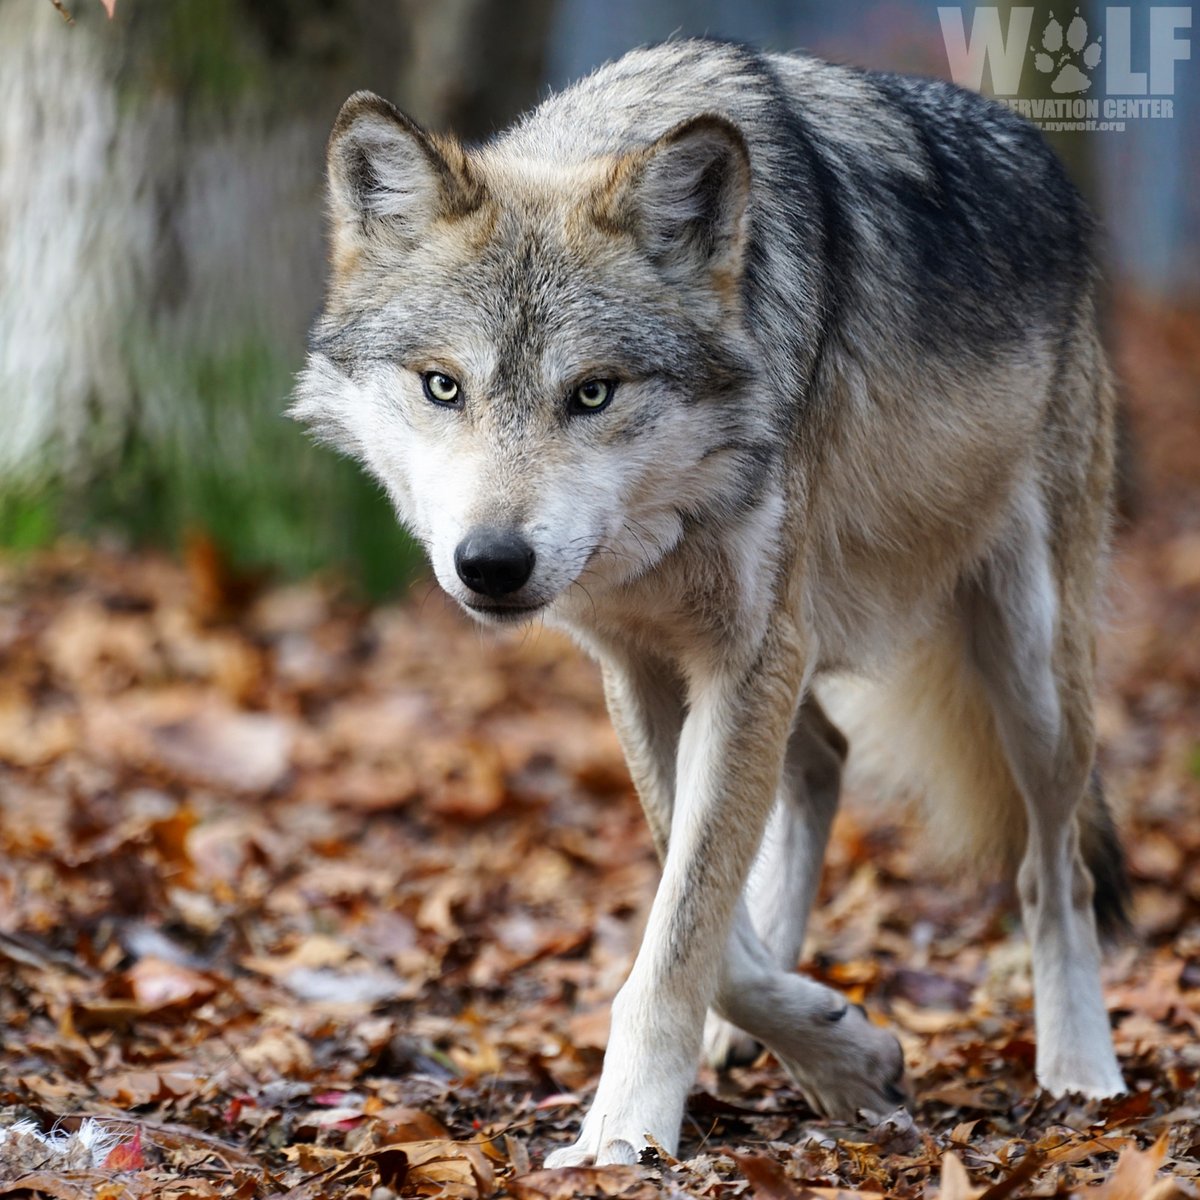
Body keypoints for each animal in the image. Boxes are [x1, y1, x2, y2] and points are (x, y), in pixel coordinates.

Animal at [292, 38, 1128, 1166]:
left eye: (593, 392)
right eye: (442, 386)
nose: (492, 564)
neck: (666, 524)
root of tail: (1047, 167)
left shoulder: (746, 655)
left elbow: (681, 929)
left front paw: (623, 1133)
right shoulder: (647, 667)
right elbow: (700, 914)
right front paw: (835, 1048)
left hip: (1029, 670)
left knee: (1055, 876)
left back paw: (1082, 1070)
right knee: (824, 761)